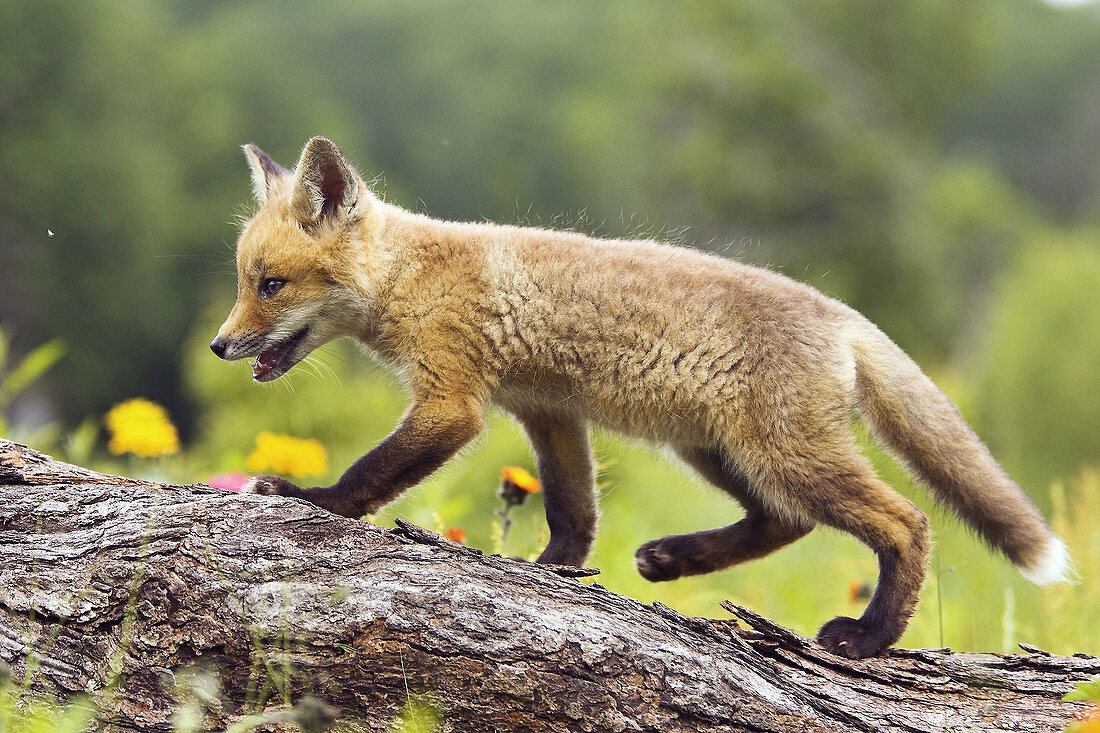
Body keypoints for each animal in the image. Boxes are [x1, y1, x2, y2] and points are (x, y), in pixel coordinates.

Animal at [212, 135, 1064, 655]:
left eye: (270, 284)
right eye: (244, 281)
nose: (220, 345)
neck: (413, 277)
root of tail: (842, 314)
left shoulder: (453, 402)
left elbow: (368, 474)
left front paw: (308, 498)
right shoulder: (547, 409)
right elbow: (572, 509)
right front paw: (554, 569)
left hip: (780, 453)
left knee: (906, 521)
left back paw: (868, 636)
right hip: (717, 451)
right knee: (785, 521)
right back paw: (674, 558)